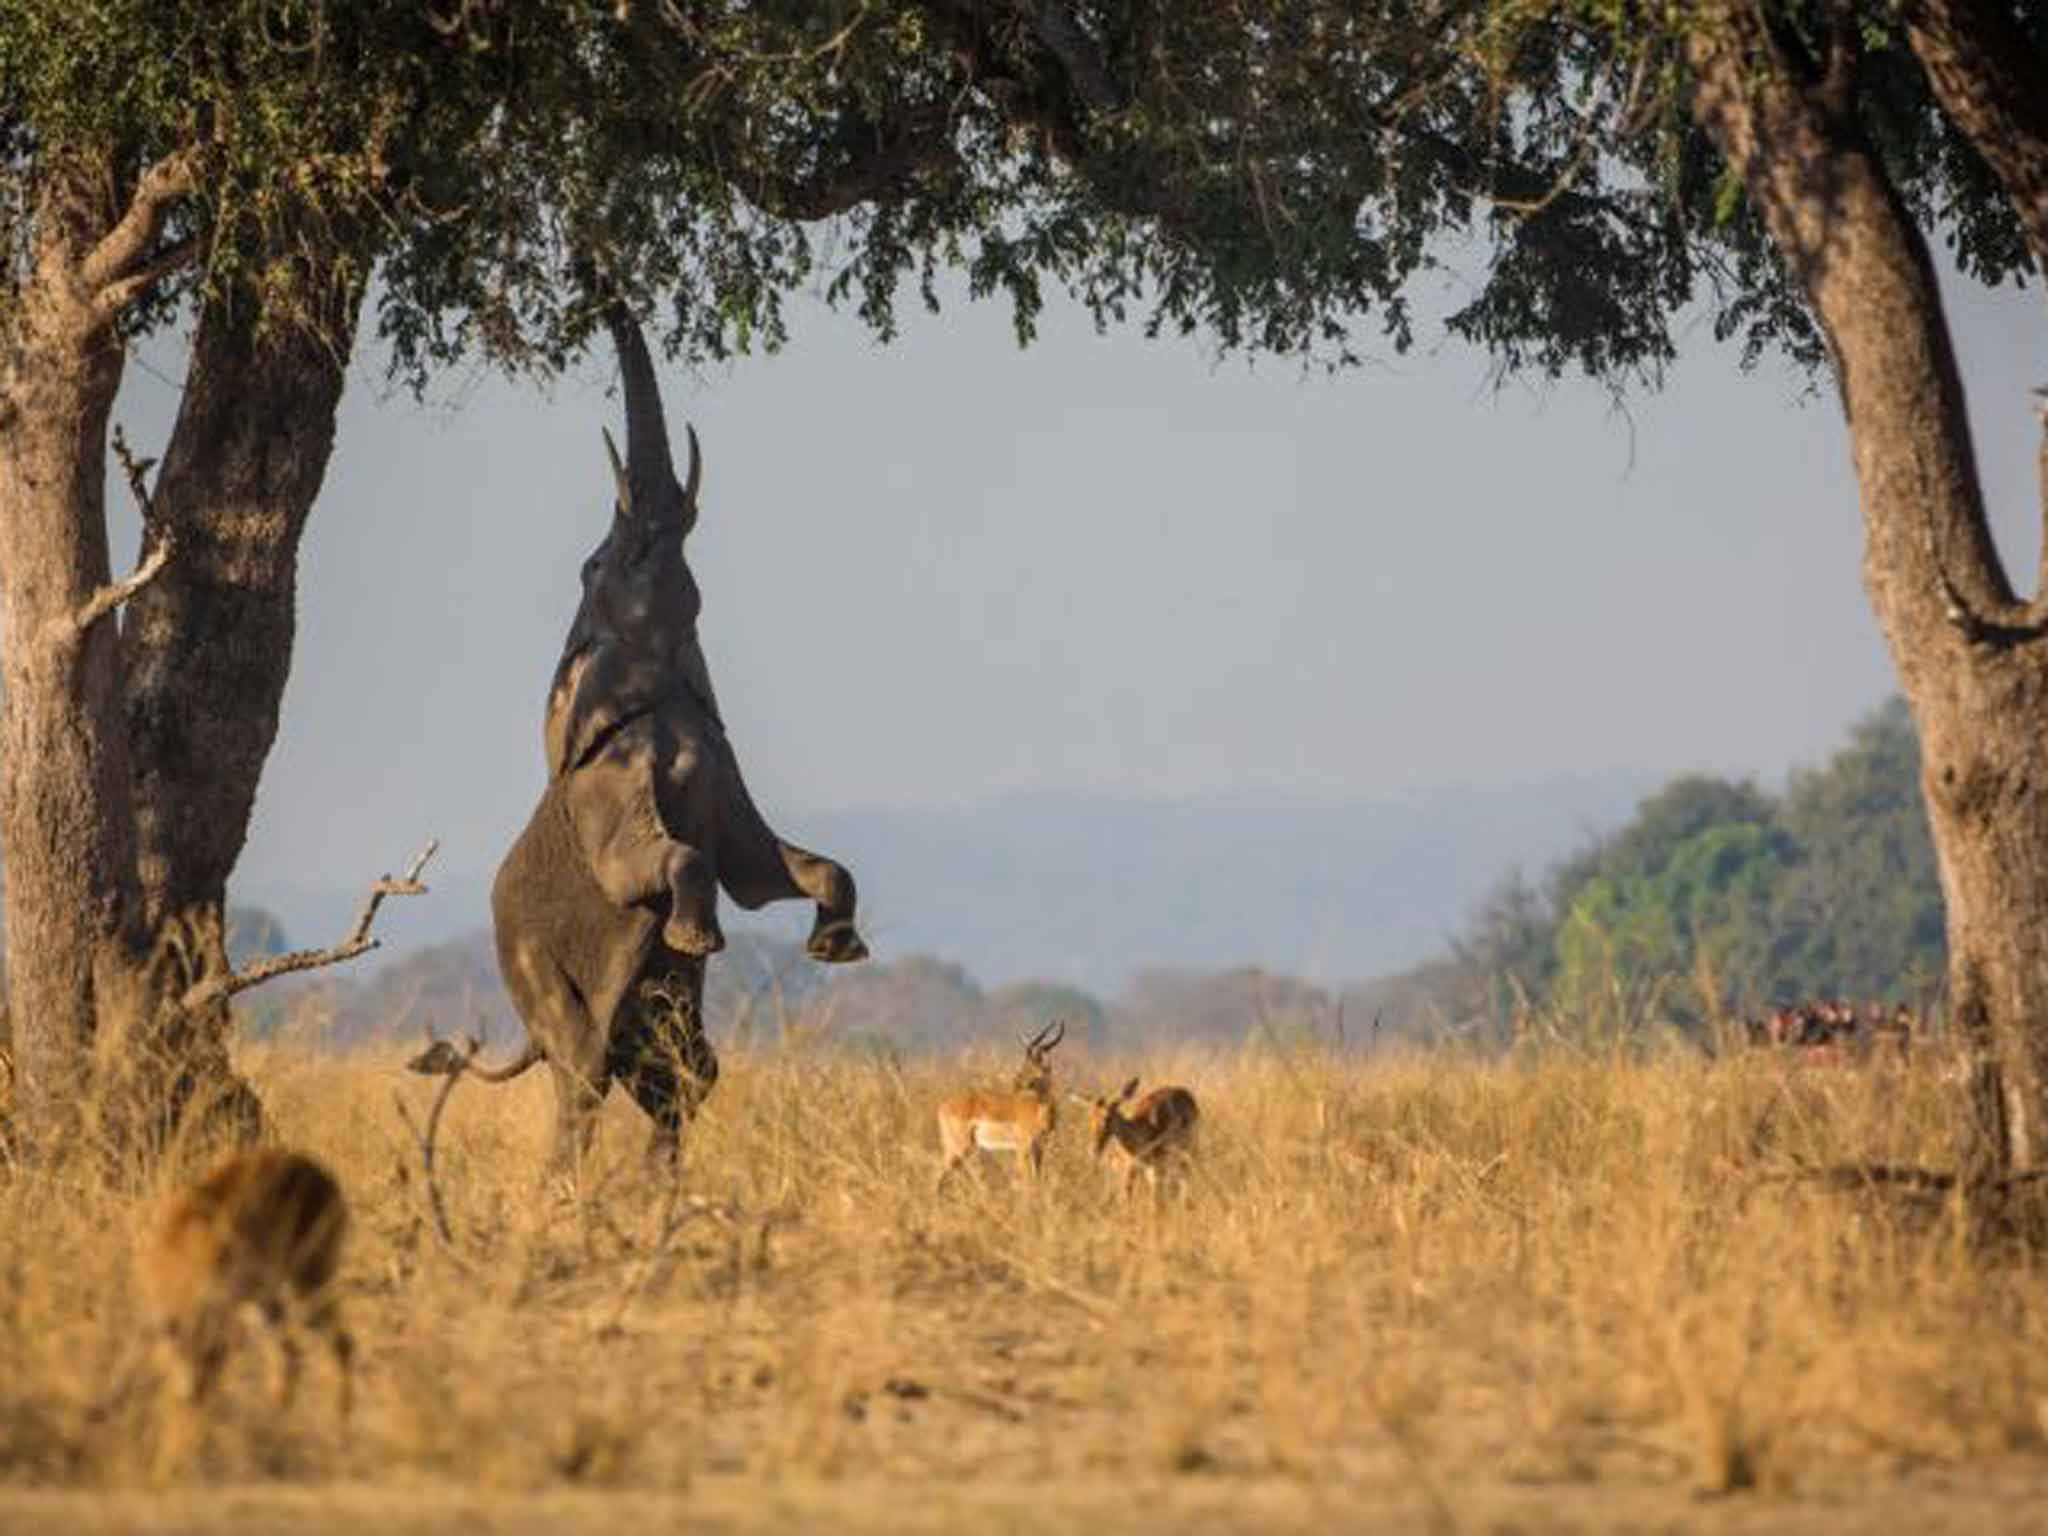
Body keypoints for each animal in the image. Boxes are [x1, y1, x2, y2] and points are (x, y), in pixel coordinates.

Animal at [138, 1146, 354, 1425]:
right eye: (178, 1355)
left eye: (208, 1358)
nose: (194, 1395)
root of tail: (317, 1168)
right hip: (264, 1303)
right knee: (290, 1355)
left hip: (307, 1286)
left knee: (341, 1343)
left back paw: (340, 1420)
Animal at [428, 303, 868, 1179]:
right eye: (598, 563)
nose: (596, 292)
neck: (657, 685)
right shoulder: (606, 789)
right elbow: (665, 864)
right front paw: (697, 932)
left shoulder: (725, 767)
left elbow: (768, 867)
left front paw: (837, 952)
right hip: (534, 972)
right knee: (584, 1073)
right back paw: (573, 1194)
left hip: (657, 1024)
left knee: (686, 1078)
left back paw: (655, 1189)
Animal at [937, 1028, 1073, 1196]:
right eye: (1025, 1065)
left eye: (1035, 1068)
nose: (1017, 1082)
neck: (1039, 1111)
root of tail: (943, 1105)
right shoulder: (1022, 1149)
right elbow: (1027, 1182)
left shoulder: (1039, 1150)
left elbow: (1037, 1181)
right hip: (961, 1146)